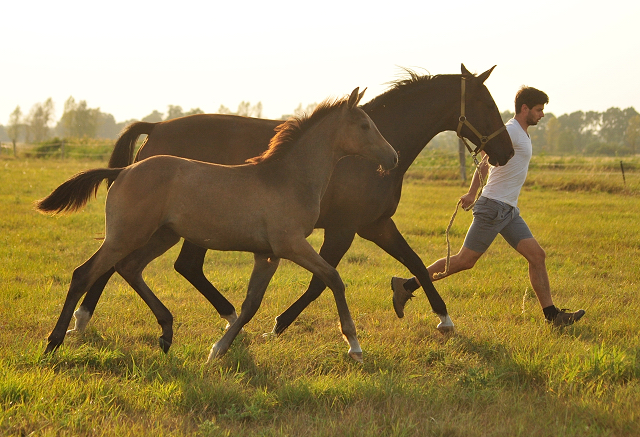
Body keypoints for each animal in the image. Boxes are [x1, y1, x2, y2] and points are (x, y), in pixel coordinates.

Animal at [37, 88, 398, 362]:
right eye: (364, 125)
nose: (393, 158)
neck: (288, 178)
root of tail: (123, 171)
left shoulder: (267, 254)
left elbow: (251, 304)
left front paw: (218, 350)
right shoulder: (291, 244)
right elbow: (334, 279)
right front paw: (354, 346)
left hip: (163, 236)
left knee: (129, 268)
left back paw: (166, 332)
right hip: (126, 235)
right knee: (84, 273)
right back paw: (54, 342)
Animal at [67, 64, 512, 346]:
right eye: (486, 105)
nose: (506, 152)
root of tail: (156, 127)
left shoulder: (376, 225)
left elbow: (416, 263)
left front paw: (440, 317)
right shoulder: (343, 229)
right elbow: (321, 281)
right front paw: (279, 326)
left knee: (173, 266)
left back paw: (226, 319)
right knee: (126, 263)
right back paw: (81, 321)